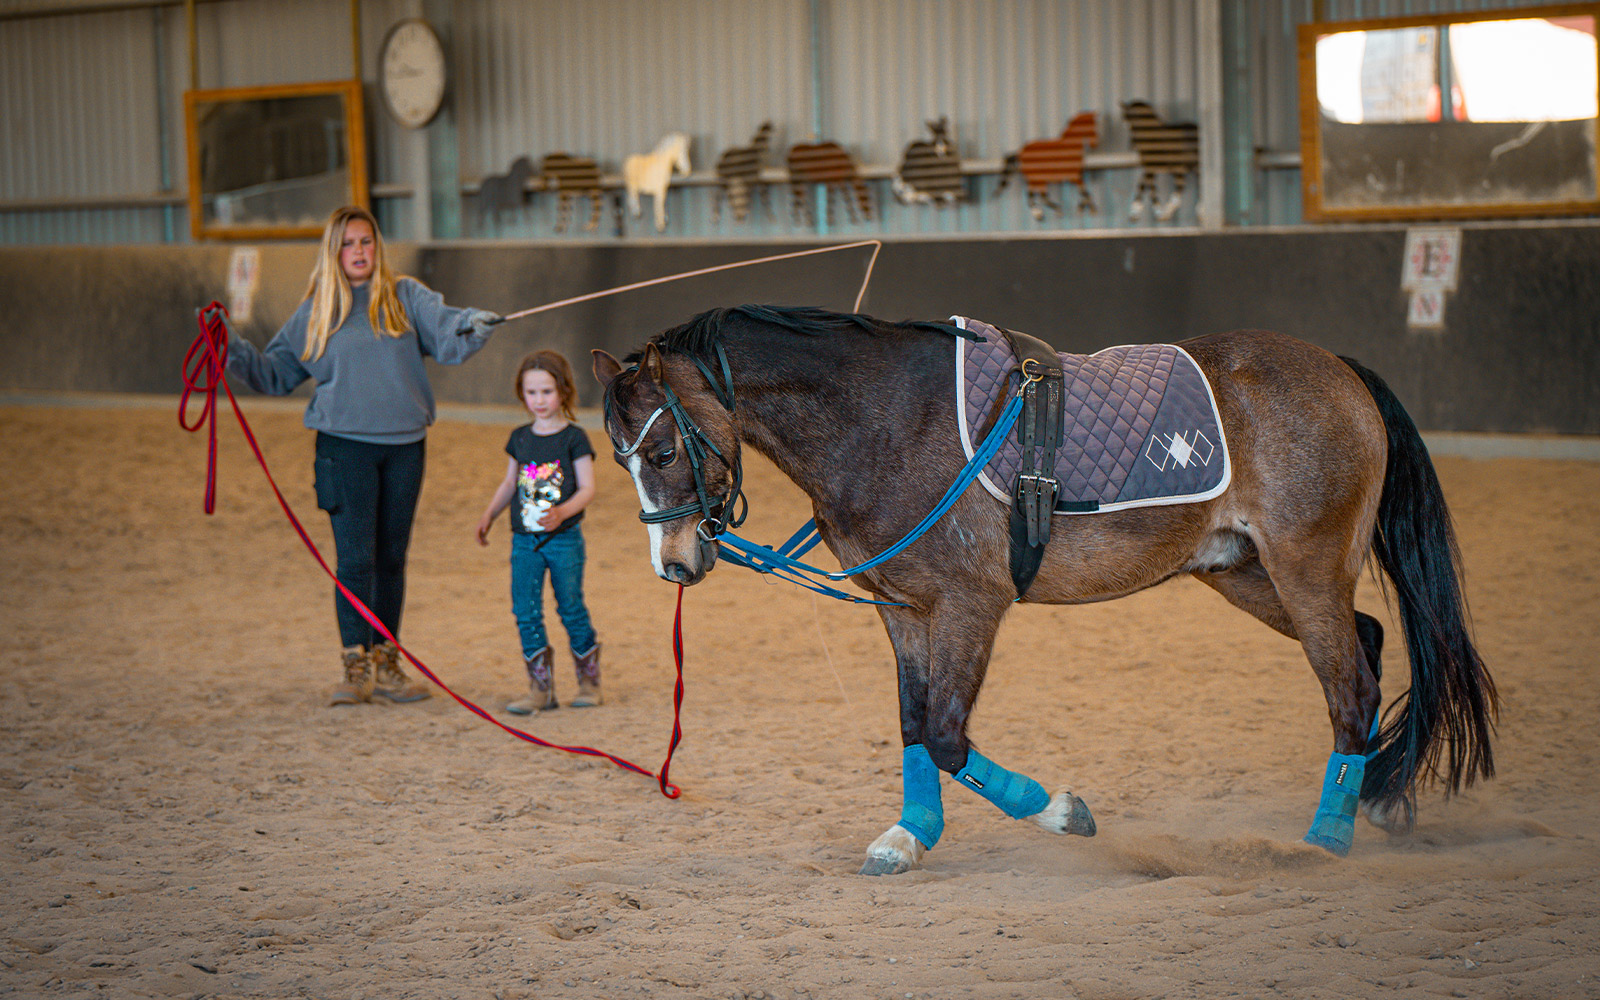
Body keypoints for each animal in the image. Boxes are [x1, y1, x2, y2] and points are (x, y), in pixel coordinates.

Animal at [595, 304, 1491, 870]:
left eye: (664, 449)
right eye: (619, 456)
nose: (675, 564)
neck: (885, 418)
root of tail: (1340, 368)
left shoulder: (970, 605)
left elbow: (947, 735)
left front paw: (1064, 811)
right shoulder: (903, 609)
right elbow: (914, 724)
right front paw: (908, 836)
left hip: (1304, 568)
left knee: (1349, 687)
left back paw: (1326, 840)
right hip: (1242, 571)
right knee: (1369, 645)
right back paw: (1380, 798)